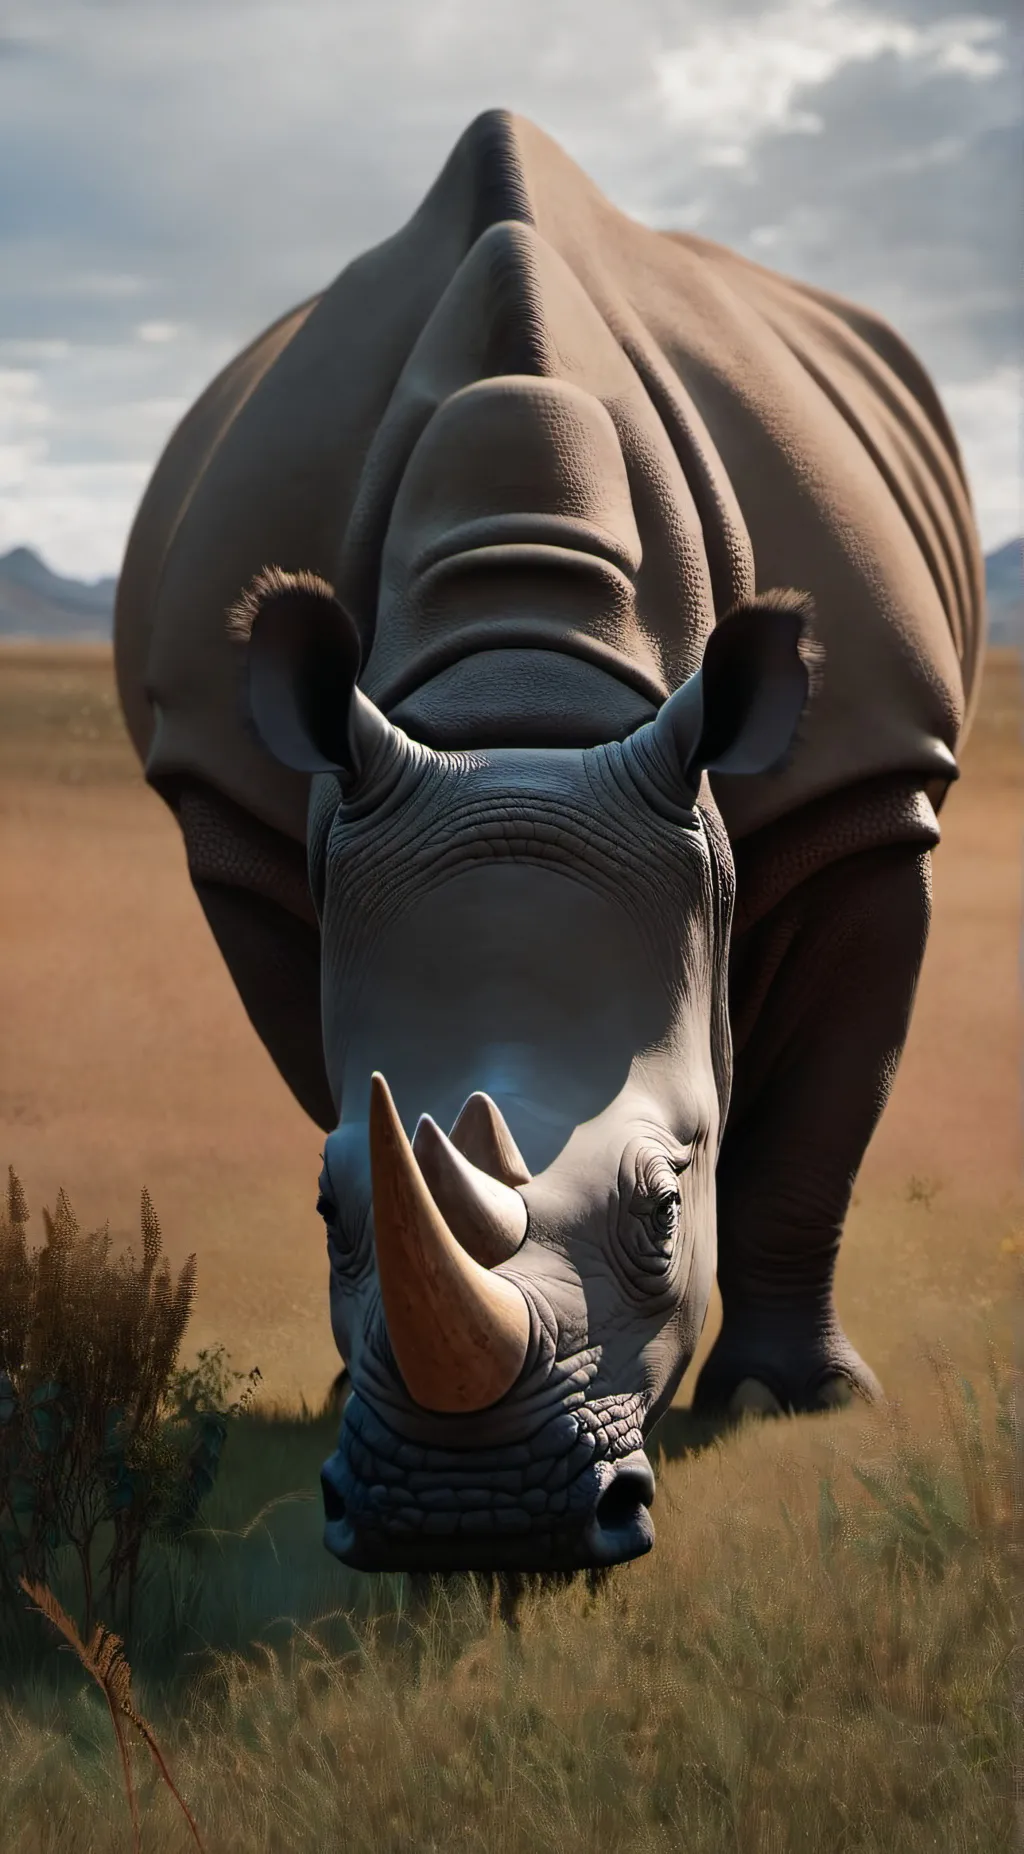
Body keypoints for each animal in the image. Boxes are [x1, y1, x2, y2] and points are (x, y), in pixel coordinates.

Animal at [115, 110, 983, 1573]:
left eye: (668, 1204)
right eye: (320, 1208)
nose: (470, 1517)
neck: (523, 688)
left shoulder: (866, 795)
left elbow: (819, 1130)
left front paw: (785, 1402)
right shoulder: (240, 827)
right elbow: (344, 1078)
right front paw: (350, 1377)